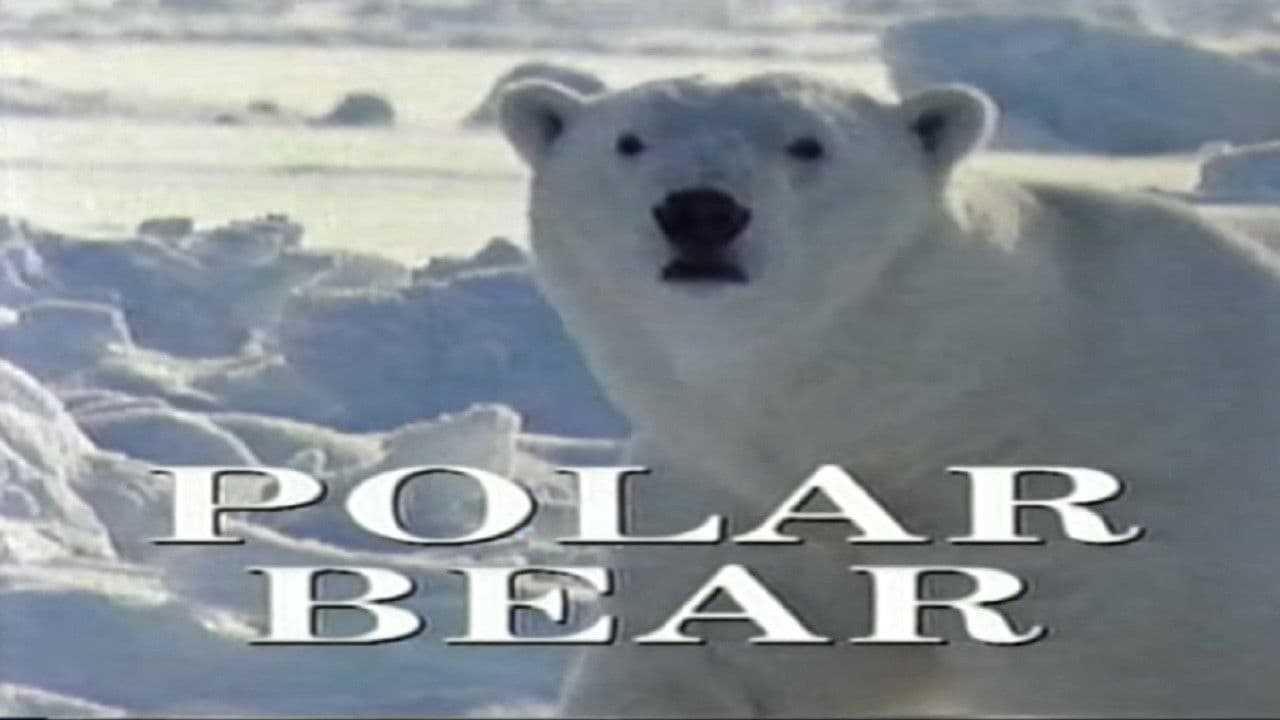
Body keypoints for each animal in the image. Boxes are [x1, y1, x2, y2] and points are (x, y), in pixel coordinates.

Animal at [497, 72, 1280, 717]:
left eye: (807, 145)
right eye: (630, 141)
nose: (701, 211)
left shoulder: (1121, 516)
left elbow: (1139, 672)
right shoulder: (746, 500)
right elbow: (708, 662)